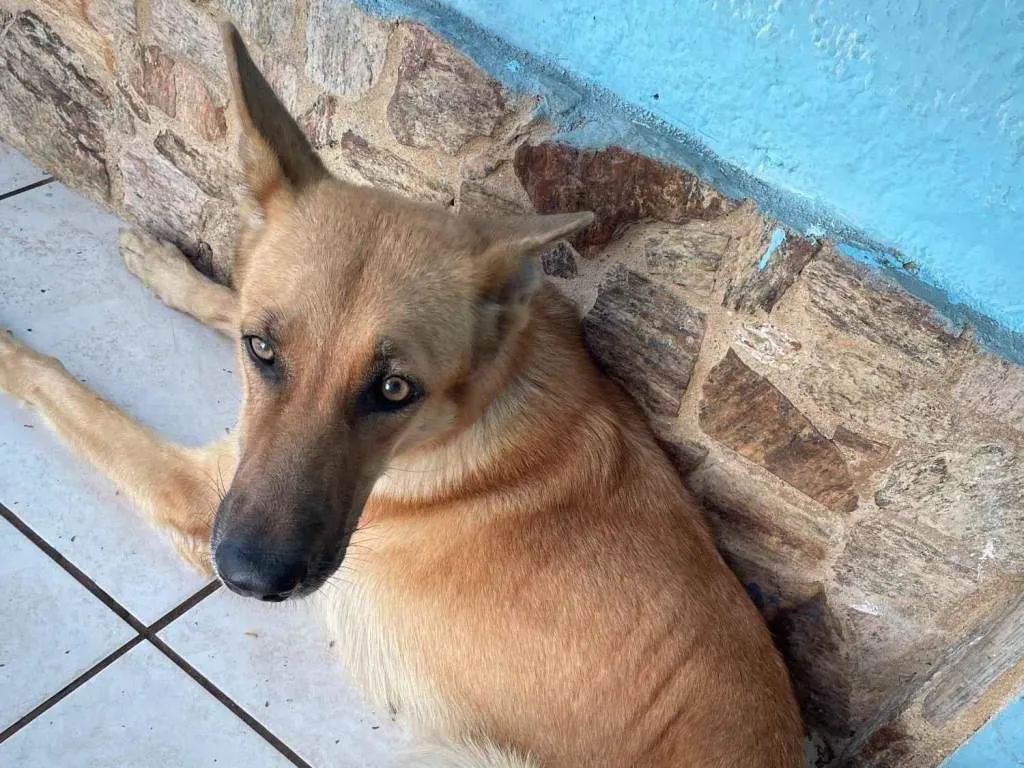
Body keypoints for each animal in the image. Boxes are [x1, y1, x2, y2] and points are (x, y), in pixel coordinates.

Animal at [0, 22, 803, 767]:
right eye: (263, 352)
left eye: (393, 390)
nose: (251, 579)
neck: (474, 402)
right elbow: (225, 300)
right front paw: (169, 267)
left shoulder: (200, 488)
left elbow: (58, 382)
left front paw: (8, 350)